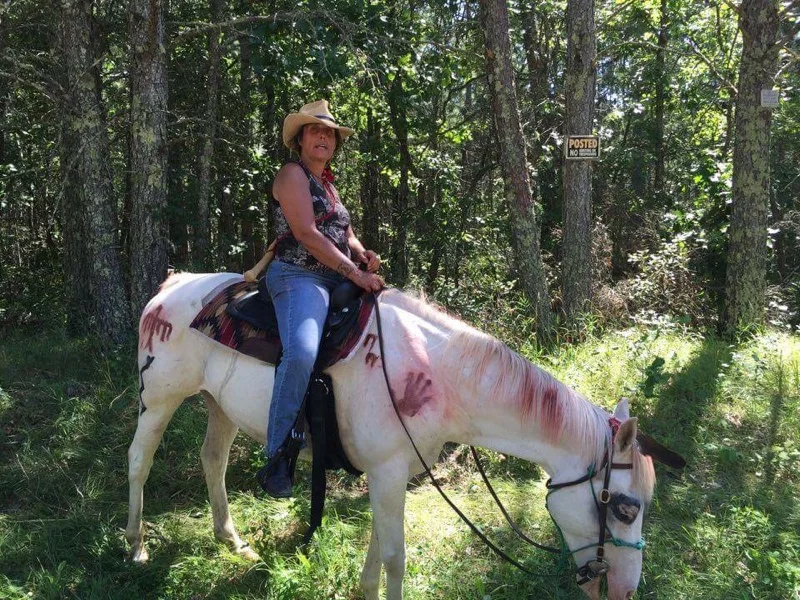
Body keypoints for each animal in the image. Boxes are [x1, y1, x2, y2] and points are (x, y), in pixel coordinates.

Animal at [127, 271, 659, 600]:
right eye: (626, 508)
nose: (626, 590)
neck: (438, 377)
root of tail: (175, 284)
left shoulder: (391, 475)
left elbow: (377, 550)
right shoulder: (385, 471)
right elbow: (394, 557)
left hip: (220, 405)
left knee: (212, 459)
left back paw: (232, 540)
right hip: (160, 399)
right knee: (140, 460)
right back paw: (136, 545)